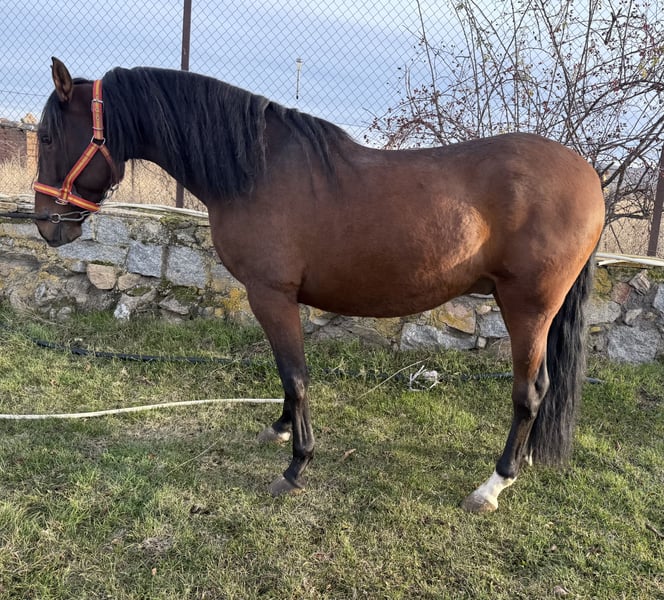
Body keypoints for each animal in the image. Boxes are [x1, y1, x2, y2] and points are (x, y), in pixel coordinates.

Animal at [33, 57, 605, 513]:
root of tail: (589, 176)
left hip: (527, 307)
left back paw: (493, 483)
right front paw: (281, 429)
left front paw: (295, 467)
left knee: (529, 392)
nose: (46, 225)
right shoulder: (279, 299)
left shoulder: (271, 294)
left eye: (47, 137)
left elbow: (296, 376)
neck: (257, 170)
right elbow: (287, 374)